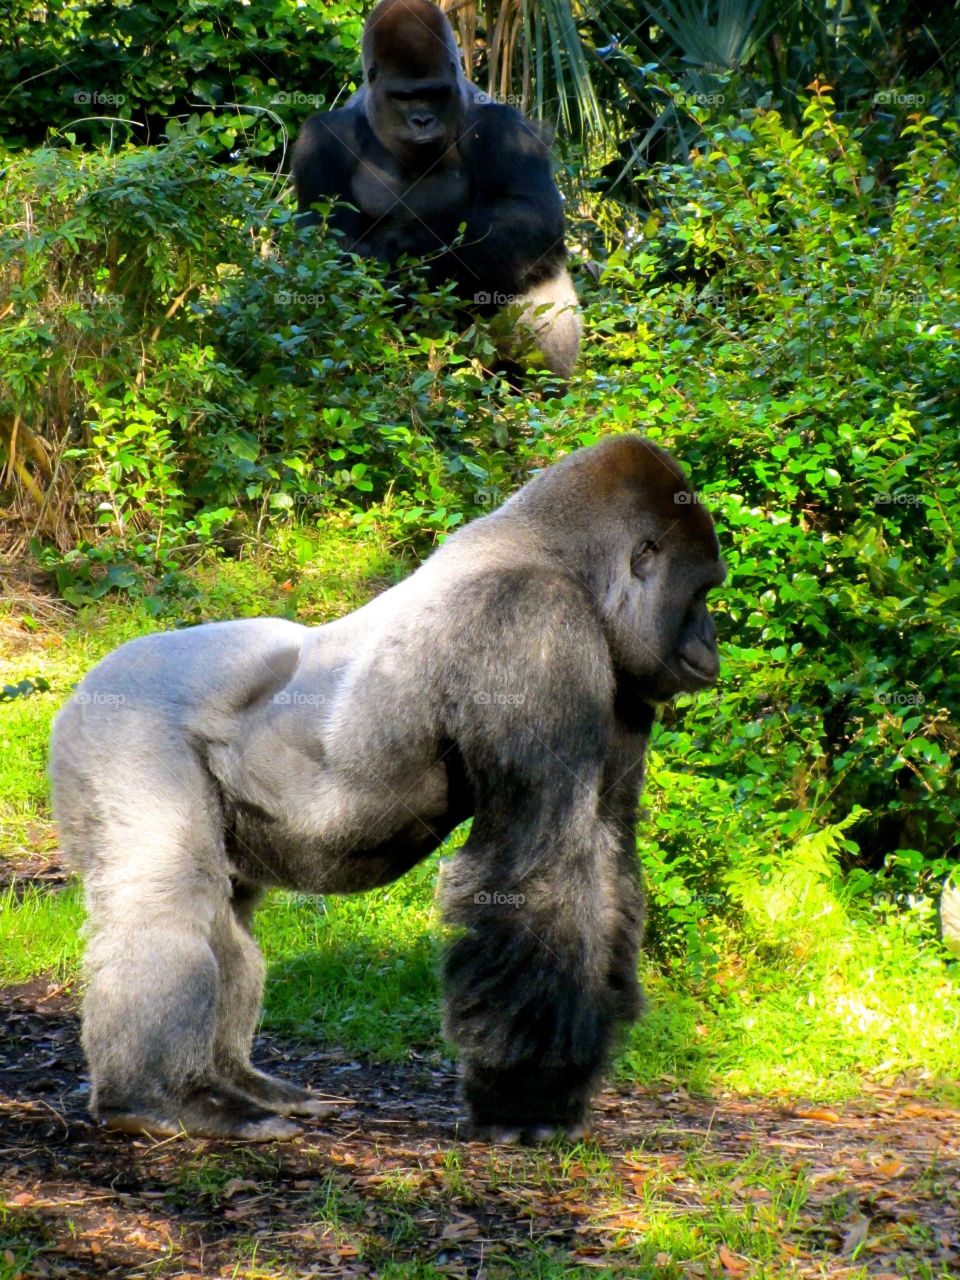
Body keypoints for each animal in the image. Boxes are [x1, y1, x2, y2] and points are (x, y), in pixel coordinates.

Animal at [48, 437, 727, 1141]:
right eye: (701, 592)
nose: (712, 641)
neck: (558, 555)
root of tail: (85, 684)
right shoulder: (531, 624)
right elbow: (542, 865)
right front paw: (526, 1100)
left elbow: (604, 850)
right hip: (116, 728)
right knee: (168, 896)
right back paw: (157, 1098)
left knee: (226, 910)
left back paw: (237, 1082)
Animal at [289, 0, 583, 373]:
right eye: (404, 97)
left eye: (435, 93)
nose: (423, 120)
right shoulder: (321, 139)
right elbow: (323, 249)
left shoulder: (503, 126)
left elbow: (530, 213)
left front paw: (395, 249)